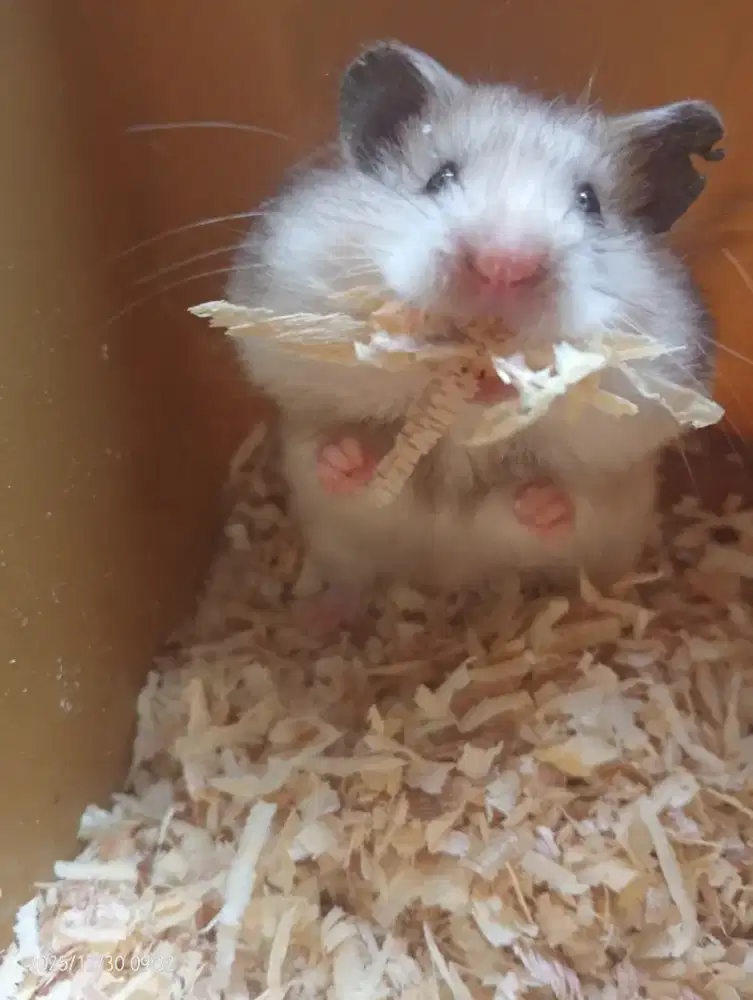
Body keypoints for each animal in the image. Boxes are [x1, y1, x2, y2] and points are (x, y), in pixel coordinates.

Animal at [226, 41, 725, 625]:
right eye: (439, 178)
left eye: (590, 202)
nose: (503, 264)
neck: (458, 433)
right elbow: (336, 437)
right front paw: (347, 457)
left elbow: (574, 493)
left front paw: (539, 497)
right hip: (337, 548)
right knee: (347, 583)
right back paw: (314, 619)